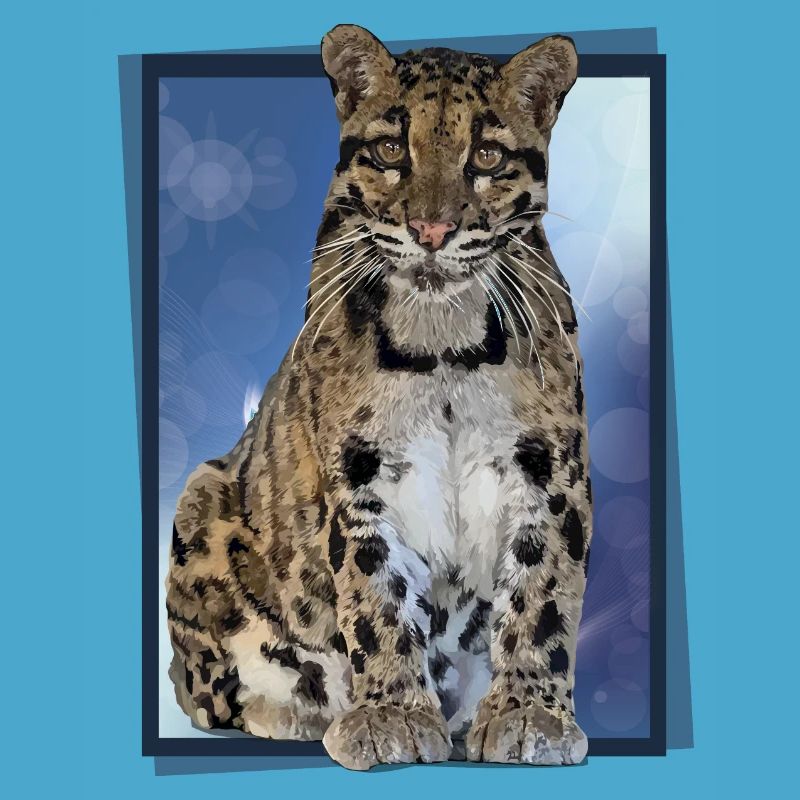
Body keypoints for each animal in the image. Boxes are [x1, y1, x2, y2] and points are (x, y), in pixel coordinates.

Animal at [166, 24, 592, 770]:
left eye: (486, 156)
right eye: (393, 149)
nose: (431, 231)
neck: (444, 343)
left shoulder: (549, 471)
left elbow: (542, 594)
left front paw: (529, 714)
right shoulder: (358, 474)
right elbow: (375, 596)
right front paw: (391, 714)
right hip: (200, 497)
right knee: (208, 692)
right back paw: (300, 711)